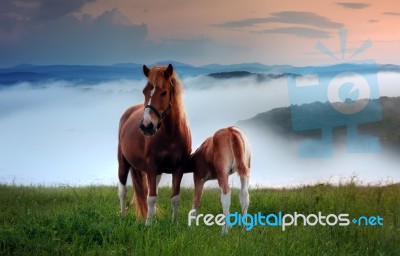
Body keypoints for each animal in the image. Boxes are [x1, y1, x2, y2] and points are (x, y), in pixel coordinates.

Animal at [118, 64, 191, 224]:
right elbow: (151, 198)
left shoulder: (179, 168)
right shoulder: (151, 167)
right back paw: (123, 217)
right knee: (123, 191)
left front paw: (174, 223)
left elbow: (175, 198)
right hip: (123, 162)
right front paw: (149, 224)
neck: (170, 135)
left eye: (164, 92)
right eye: (144, 91)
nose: (146, 126)